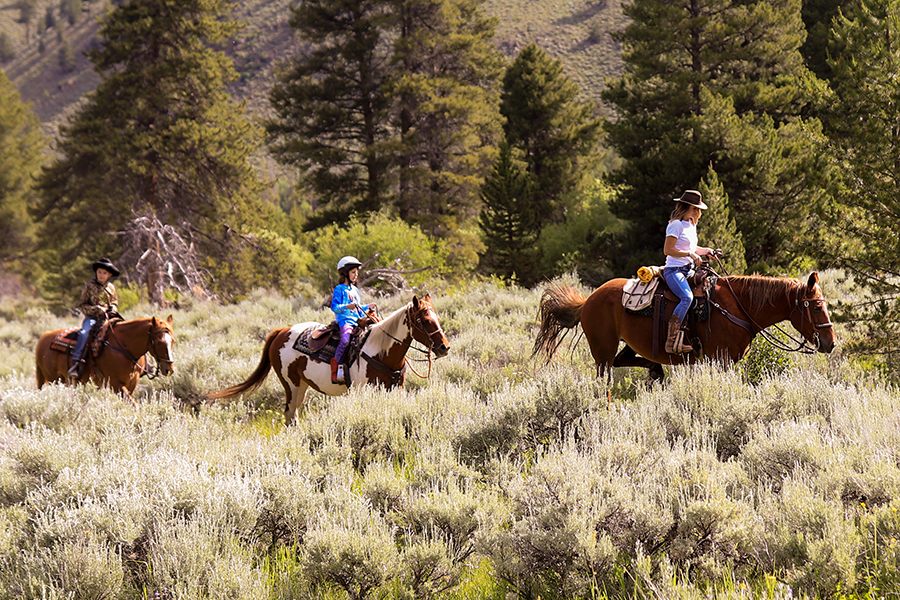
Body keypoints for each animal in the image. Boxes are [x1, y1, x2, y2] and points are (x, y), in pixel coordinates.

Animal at [35, 314, 176, 404]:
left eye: (173, 341)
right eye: (159, 342)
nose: (169, 369)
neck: (124, 347)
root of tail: (45, 336)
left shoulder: (132, 381)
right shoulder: (115, 383)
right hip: (53, 379)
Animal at [208, 292, 454, 424]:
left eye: (438, 318)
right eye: (425, 321)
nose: (444, 347)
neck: (381, 351)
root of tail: (282, 331)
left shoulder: (396, 389)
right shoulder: (363, 391)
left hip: (303, 385)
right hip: (291, 384)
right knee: (290, 414)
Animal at [536, 274, 836, 380]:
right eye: (815, 307)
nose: (830, 342)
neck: (739, 306)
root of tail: (588, 300)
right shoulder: (722, 359)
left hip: (625, 346)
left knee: (628, 360)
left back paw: (656, 371)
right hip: (602, 352)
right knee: (605, 378)